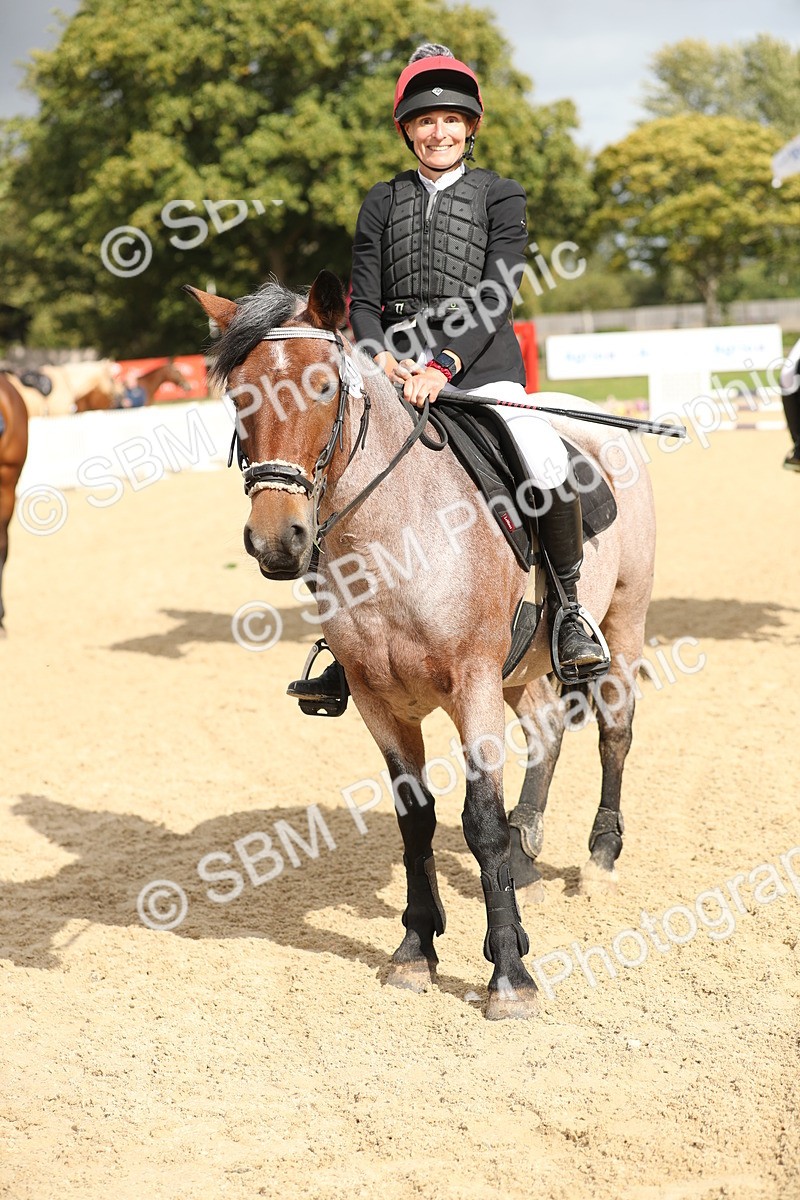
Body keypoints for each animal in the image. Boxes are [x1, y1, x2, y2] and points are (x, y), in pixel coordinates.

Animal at [186, 271, 656, 1020]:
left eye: (325, 386)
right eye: (239, 396)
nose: (277, 539)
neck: (396, 538)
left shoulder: (472, 686)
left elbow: (479, 821)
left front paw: (510, 976)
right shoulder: (381, 702)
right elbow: (417, 822)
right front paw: (415, 950)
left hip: (623, 619)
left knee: (614, 729)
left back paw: (600, 859)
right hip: (522, 666)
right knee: (548, 728)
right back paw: (527, 854)